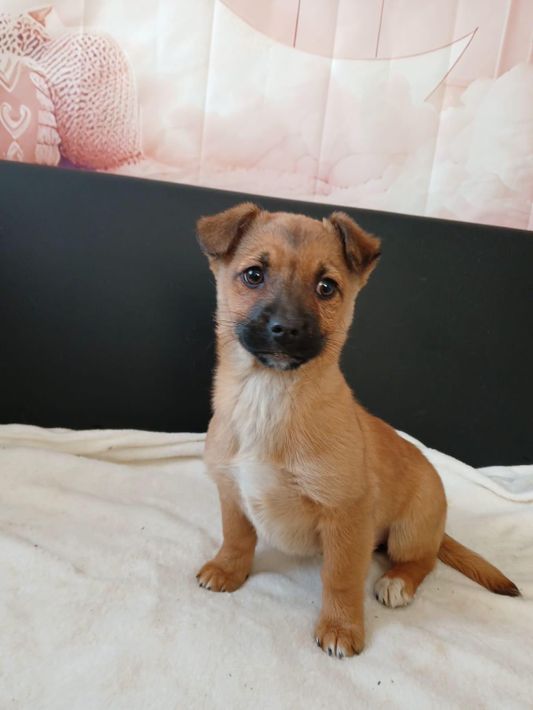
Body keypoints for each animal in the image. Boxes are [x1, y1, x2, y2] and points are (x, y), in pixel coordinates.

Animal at [195, 203, 519, 658]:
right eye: (253, 275)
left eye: (326, 287)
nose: (286, 329)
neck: (269, 397)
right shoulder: (231, 491)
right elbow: (236, 537)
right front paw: (227, 570)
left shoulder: (346, 515)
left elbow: (341, 577)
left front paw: (341, 627)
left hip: (409, 531)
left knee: (424, 559)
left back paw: (397, 583)